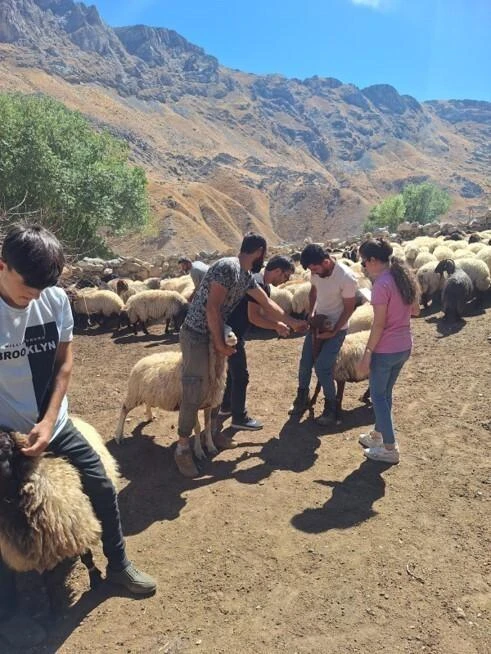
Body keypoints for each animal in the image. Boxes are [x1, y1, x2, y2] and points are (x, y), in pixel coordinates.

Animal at [115, 328, 238, 462]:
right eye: (218, 331)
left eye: (231, 328)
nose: (233, 337)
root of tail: (141, 361)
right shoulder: (191, 403)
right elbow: (198, 428)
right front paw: (199, 451)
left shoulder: (208, 403)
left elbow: (208, 426)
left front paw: (211, 447)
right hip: (134, 393)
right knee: (124, 409)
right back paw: (118, 435)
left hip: (148, 392)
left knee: (147, 402)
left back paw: (149, 416)